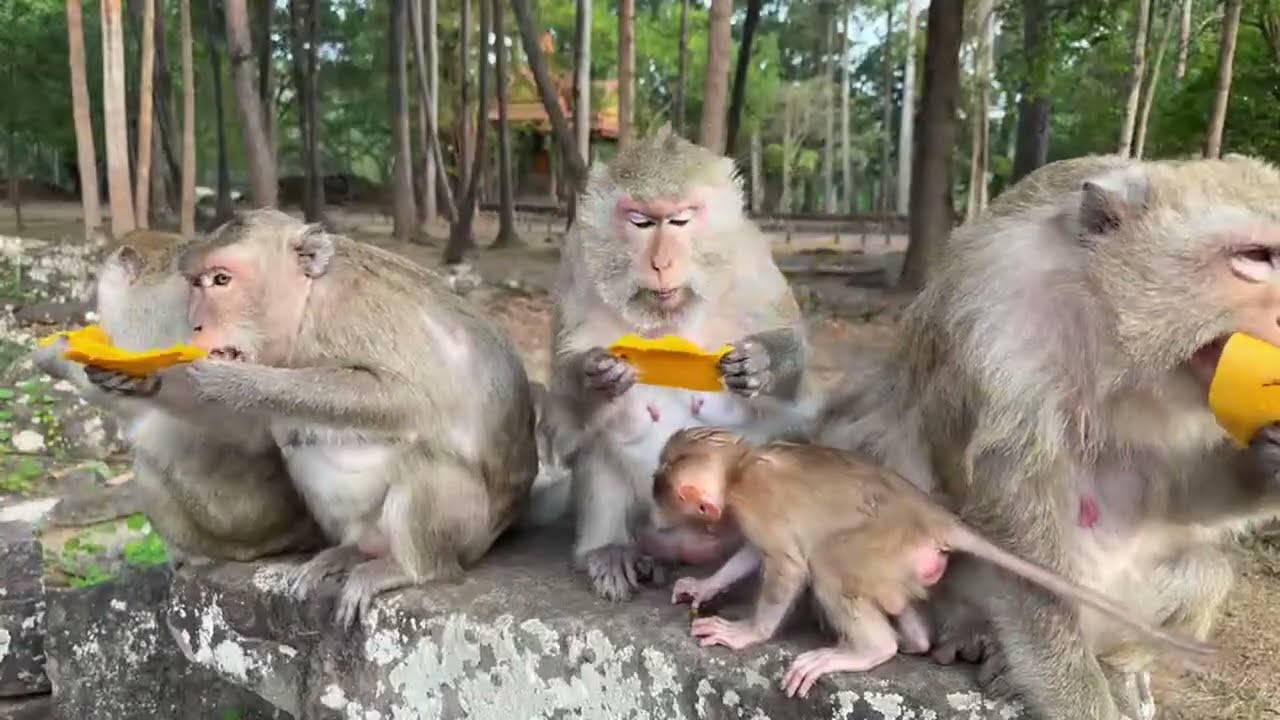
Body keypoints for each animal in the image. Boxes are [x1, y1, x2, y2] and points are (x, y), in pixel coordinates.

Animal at [130, 209, 538, 628]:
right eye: (196, 283)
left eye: (221, 280)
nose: (194, 323)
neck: (306, 305)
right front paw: (142, 380)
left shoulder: (353, 312)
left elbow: (412, 399)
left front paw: (233, 382)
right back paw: (352, 551)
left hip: (469, 531)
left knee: (425, 461)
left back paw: (412, 568)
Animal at [547, 125, 811, 601]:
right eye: (641, 221)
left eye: (680, 220)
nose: (661, 262)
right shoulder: (576, 267)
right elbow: (566, 400)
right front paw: (599, 376)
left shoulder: (751, 258)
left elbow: (794, 371)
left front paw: (758, 363)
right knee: (598, 445)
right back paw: (613, 552)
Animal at [650, 427, 1214, 700]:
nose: (692, 520)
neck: (740, 465)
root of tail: (930, 515)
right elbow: (749, 555)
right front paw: (705, 586)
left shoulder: (755, 502)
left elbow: (785, 565)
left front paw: (747, 633)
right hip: (902, 561)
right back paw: (917, 640)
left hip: (881, 543)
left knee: (829, 562)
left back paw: (870, 650)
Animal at [811, 154, 1280, 719]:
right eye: (1256, 257)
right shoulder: (997, 325)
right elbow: (1012, 519)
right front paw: (1079, 701)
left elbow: (1168, 493)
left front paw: (1269, 462)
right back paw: (976, 637)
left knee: (1203, 573)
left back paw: (1120, 667)